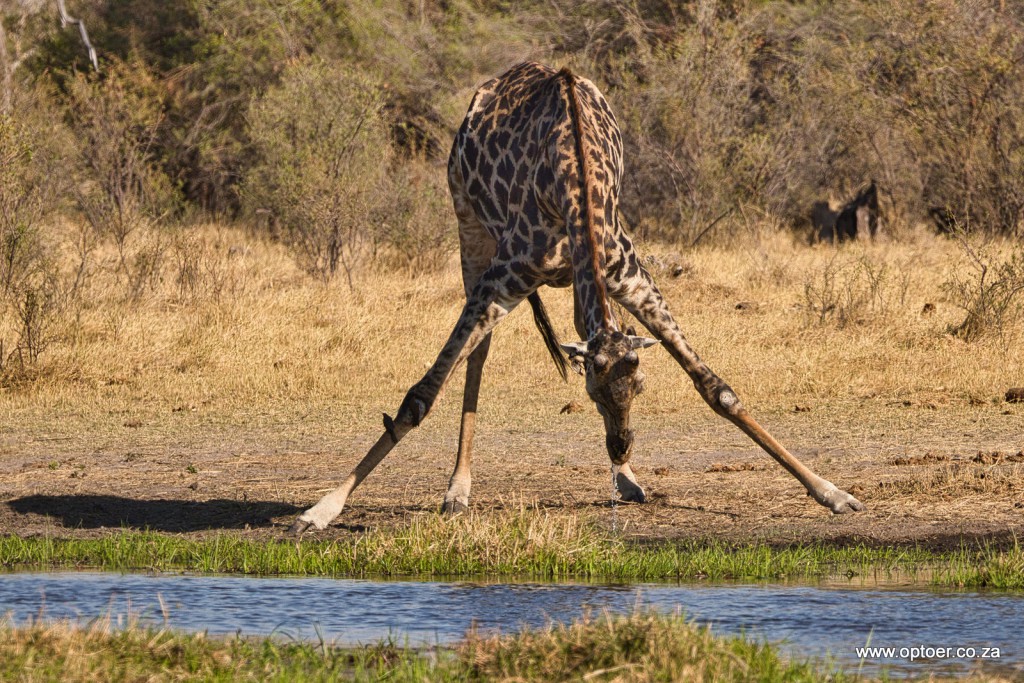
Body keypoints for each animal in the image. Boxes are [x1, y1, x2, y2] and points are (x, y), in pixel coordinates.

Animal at [289, 62, 864, 533]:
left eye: (640, 389)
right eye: (591, 394)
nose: (620, 444)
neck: (575, 181)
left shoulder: (629, 278)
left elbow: (717, 389)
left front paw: (833, 493)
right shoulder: (503, 278)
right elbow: (420, 395)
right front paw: (322, 508)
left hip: (570, 282)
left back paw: (625, 480)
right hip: (469, 231)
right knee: (477, 354)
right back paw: (457, 490)